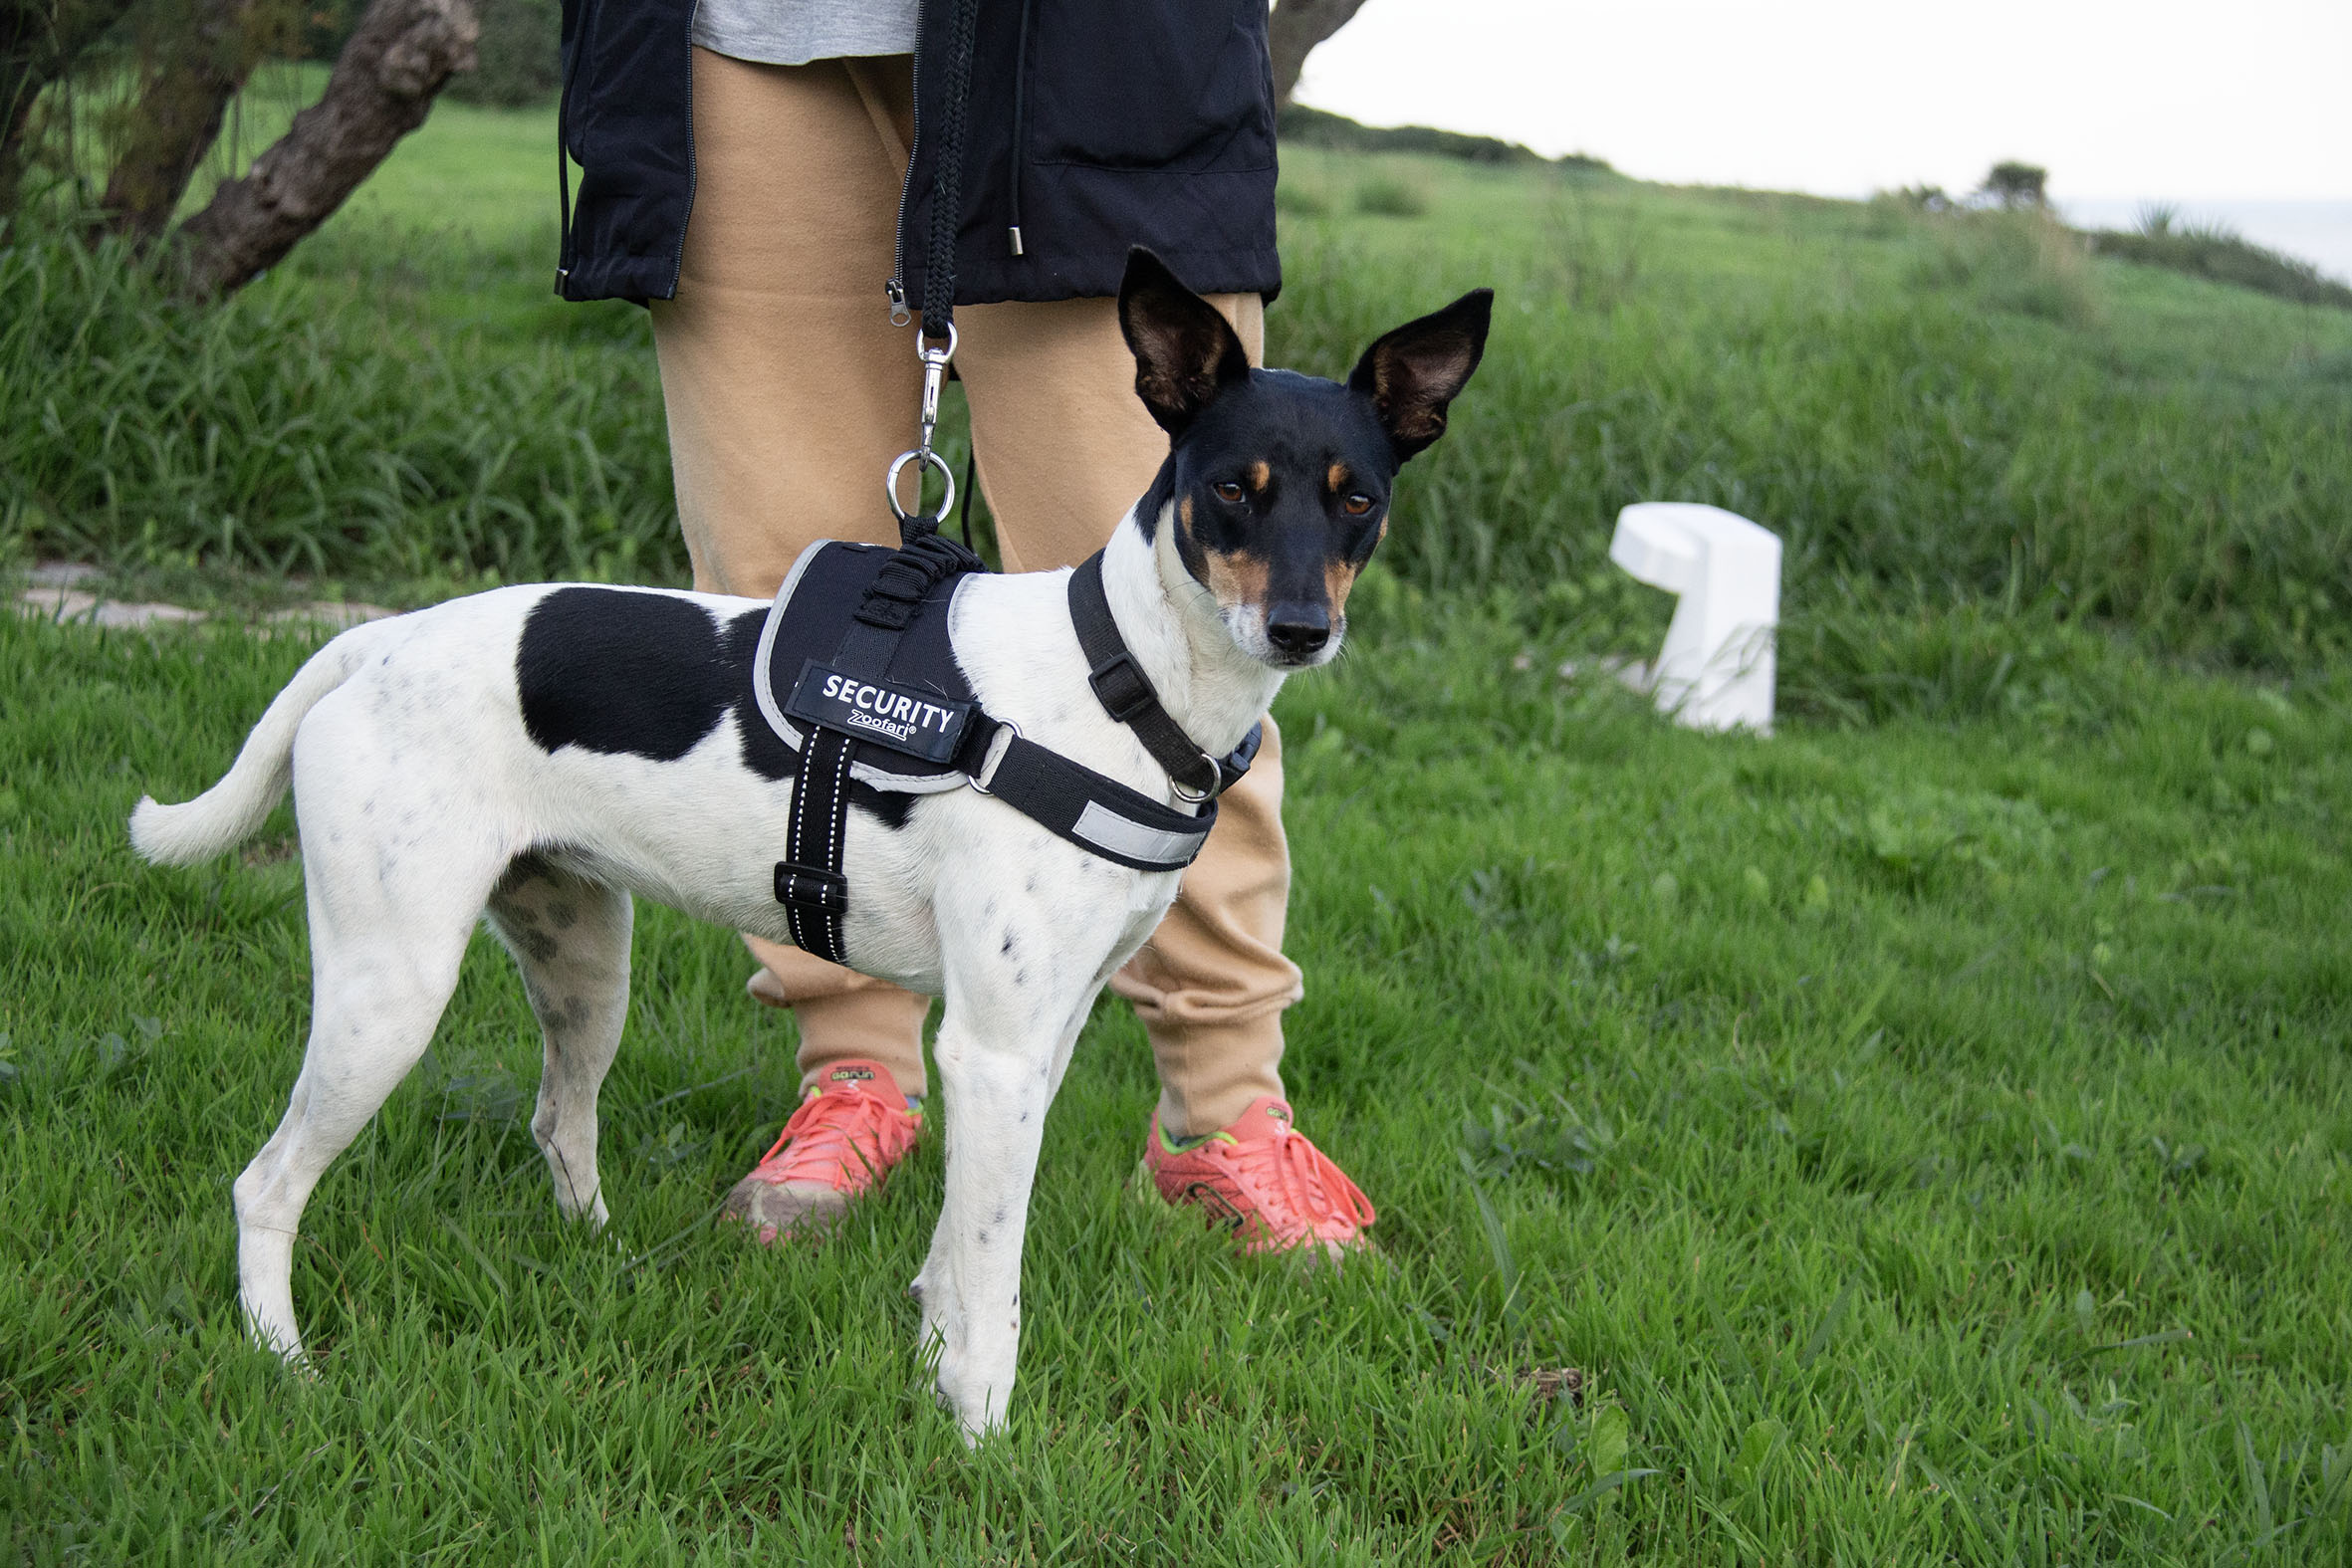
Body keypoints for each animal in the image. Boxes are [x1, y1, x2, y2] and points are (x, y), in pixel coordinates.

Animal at [130, 251, 1491, 1439]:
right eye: (1230, 490)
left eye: (1358, 499)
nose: (1301, 628)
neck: (1121, 683)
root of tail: (375, 641)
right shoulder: (994, 1053)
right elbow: (994, 1276)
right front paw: (981, 1434)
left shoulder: (1036, 1042)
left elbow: (954, 1256)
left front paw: (935, 1365)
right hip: (390, 991)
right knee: (266, 1184)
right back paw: (282, 1360)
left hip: (583, 967)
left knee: (558, 1124)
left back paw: (602, 1257)